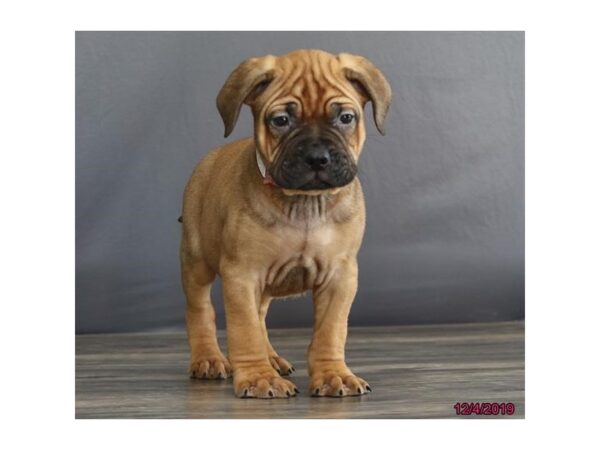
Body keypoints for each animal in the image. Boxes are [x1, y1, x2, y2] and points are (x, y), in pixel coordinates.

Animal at [180, 49, 392, 400]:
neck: (304, 203)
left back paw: (272, 358)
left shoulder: (340, 277)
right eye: (281, 120)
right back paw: (208, 358)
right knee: (201, 310)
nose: (318, 157)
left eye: (345, 118)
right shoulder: (242, 275)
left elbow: (330, 330)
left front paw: (334, 375)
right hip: (197, 260)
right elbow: (245, 330)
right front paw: (257, 378)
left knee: (260, 314)